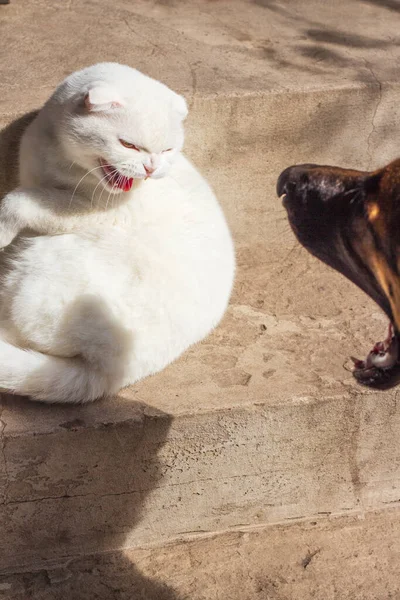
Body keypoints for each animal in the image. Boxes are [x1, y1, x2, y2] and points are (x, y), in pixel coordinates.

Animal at [0, 62, 234, 404]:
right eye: (129, 145)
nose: (151, 168)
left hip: (47, 262)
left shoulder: (85, 210)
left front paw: (2, 228)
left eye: (167, 149)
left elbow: (19, 201)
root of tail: (113, 377)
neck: (57, 161)